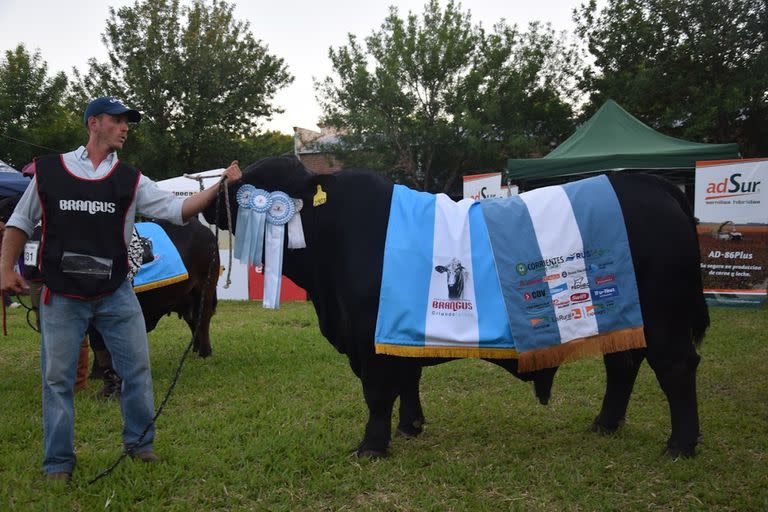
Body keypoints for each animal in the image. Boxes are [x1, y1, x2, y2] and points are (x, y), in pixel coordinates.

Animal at [207, 157, 712, 460]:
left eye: (261, 184)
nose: (213, 199)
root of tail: (651, 183)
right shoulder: (398, 333)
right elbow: (407, 381)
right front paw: (411, 426)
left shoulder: (370, 340)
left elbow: (378, 393)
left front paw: (371, 447)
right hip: (624, 317)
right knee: (623, 364)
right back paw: (604, 425)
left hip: (664, 321)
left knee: (676, 368)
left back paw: (680, 445)